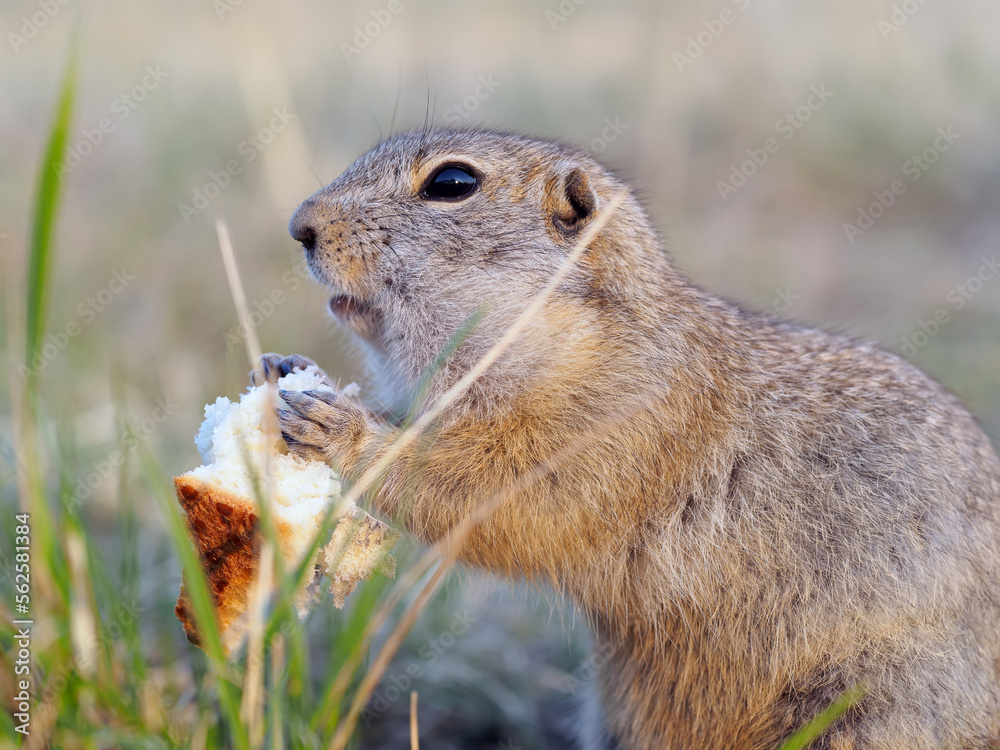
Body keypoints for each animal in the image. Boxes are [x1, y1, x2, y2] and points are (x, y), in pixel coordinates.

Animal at [264, 131, 1000, 750]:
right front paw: (276, 367)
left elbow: (490, 496)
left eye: (451, 183)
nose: (299, 225)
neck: (578, 341)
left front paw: (339, 427)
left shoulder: (612, 434)